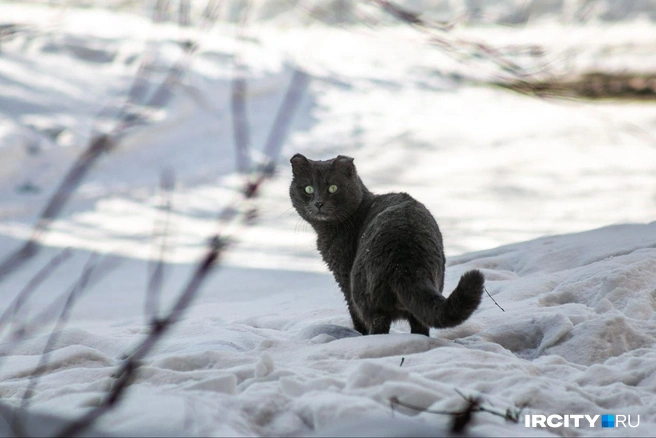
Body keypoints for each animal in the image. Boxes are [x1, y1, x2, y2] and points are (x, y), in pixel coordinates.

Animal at [290, 154, 484, 336]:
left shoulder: (343, 274)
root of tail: (405, 263)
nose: (318, 203)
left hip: (362, 291)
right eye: (308, 189)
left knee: (377, 324)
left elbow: (355, 315)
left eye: (333, 188)